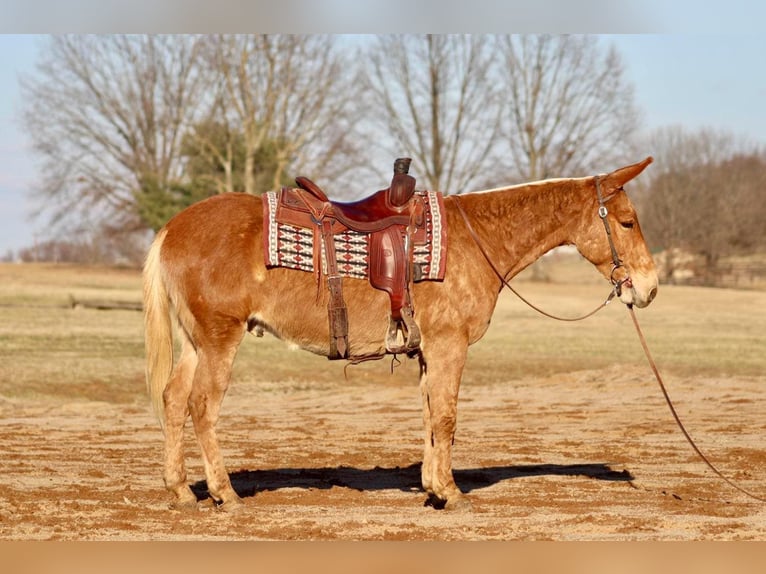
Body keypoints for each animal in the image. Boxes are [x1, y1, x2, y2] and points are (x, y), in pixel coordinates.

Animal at [143, 157, 658, 511]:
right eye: (628, 221)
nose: (649, 287)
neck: (478, 239)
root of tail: (172, 227)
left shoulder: (429, 351)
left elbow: (431, 415)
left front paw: (432, 486)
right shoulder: (450, 345)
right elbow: (447, 417)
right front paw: (451, 493)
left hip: (194, 342)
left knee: (173, 399)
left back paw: (182, 491)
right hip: (218, 339)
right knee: (201, 405)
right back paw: (224, 493)